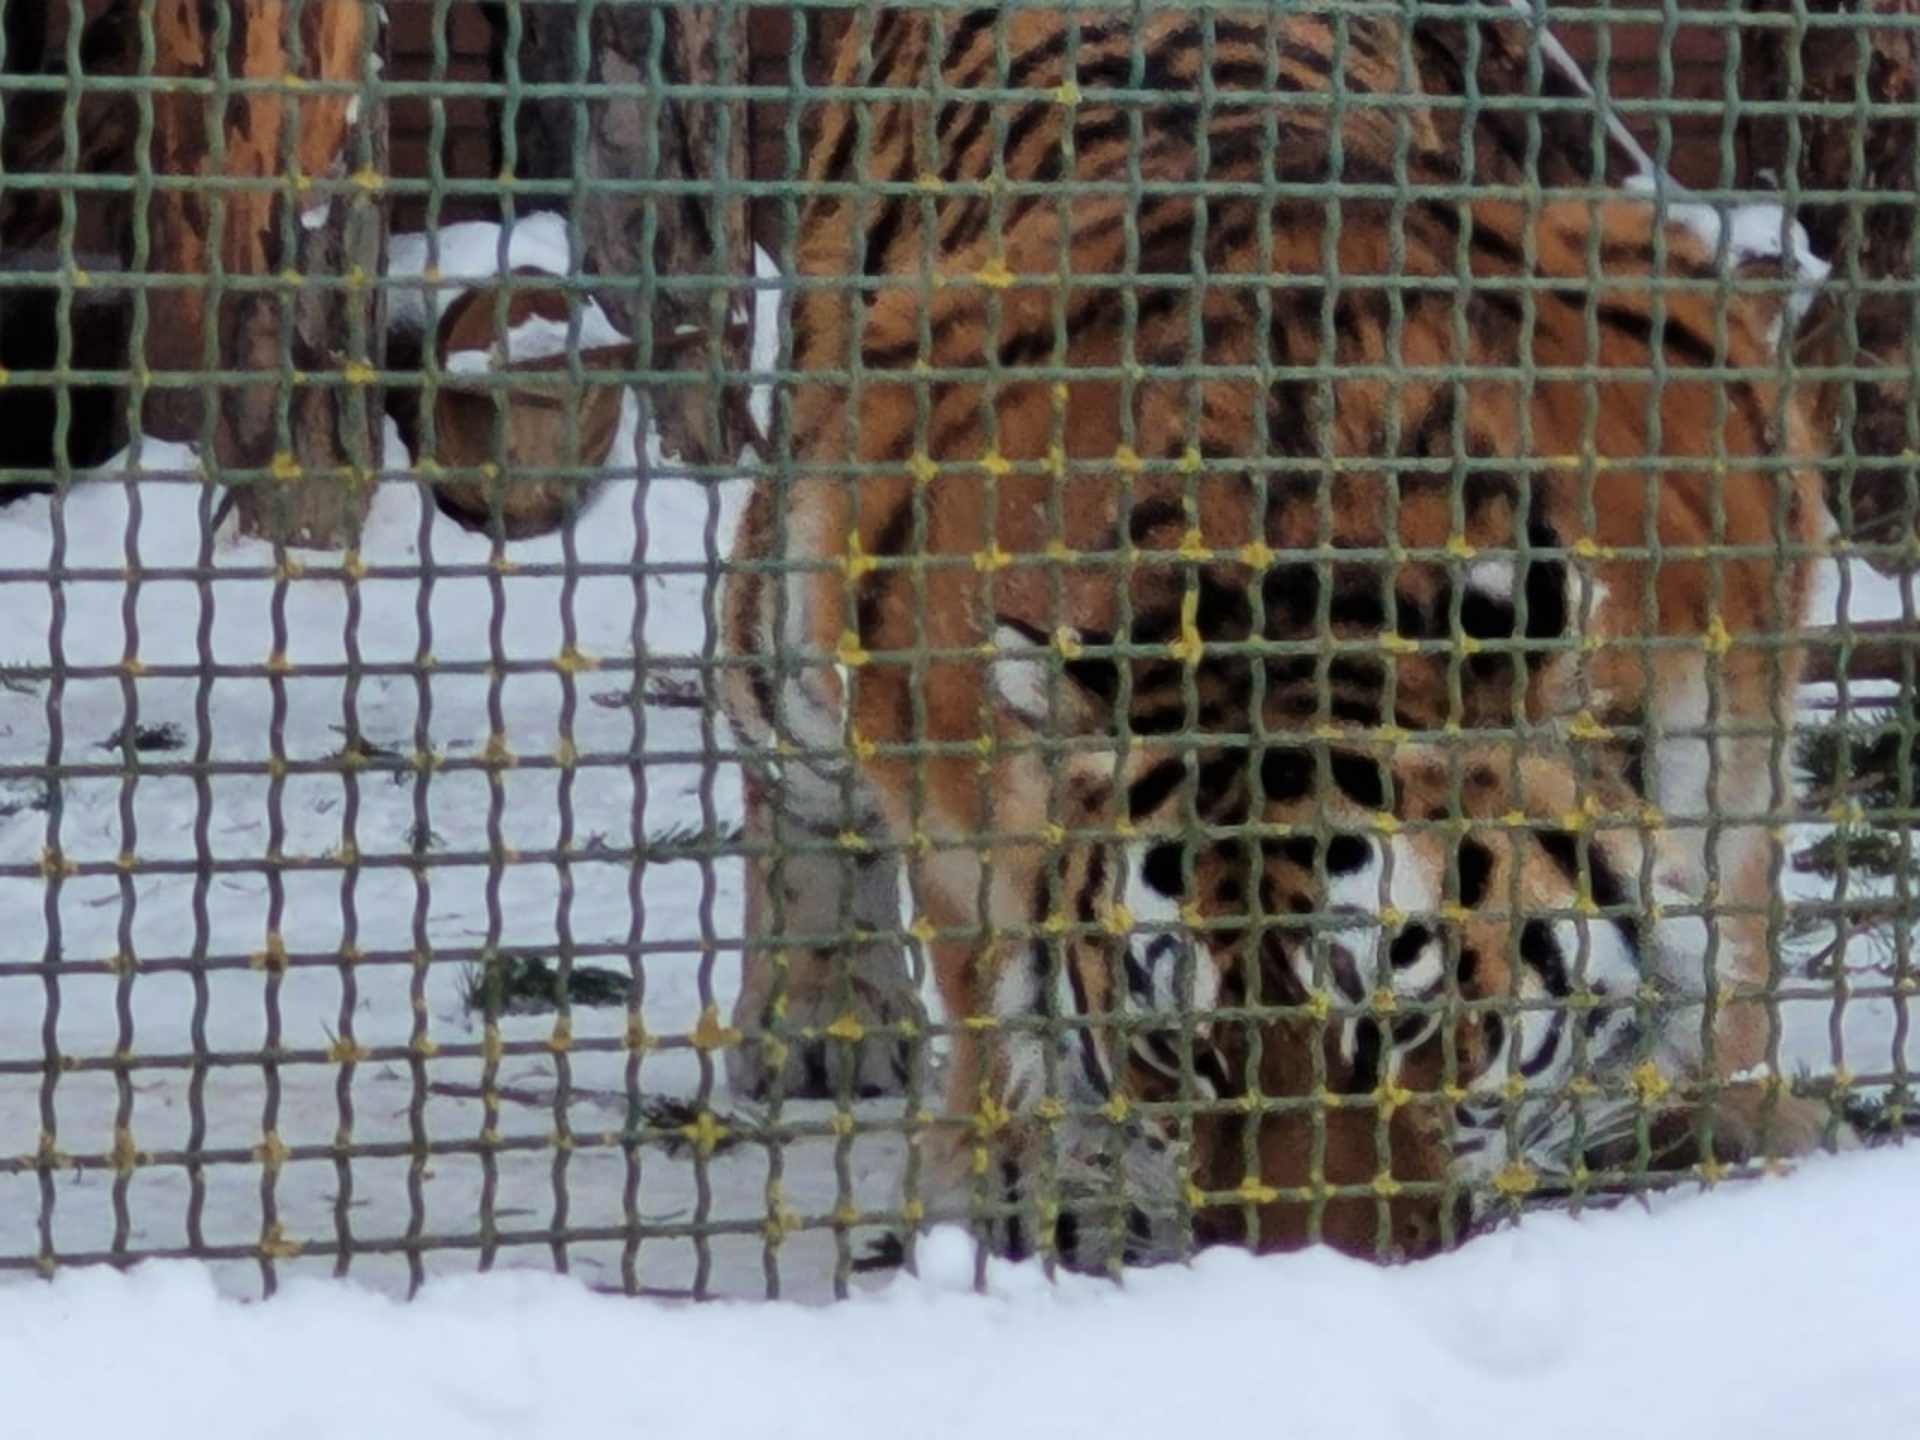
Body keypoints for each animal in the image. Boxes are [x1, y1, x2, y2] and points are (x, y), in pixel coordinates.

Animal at [718, 2, 1827, 1259]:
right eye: (1177, 1054)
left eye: (1403, 1027)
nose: (1310, 1270)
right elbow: (993, 992)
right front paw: (1021, 1191)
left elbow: (1726, 949)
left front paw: (1718, 1135)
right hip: (797, 599)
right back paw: (822, 1016)